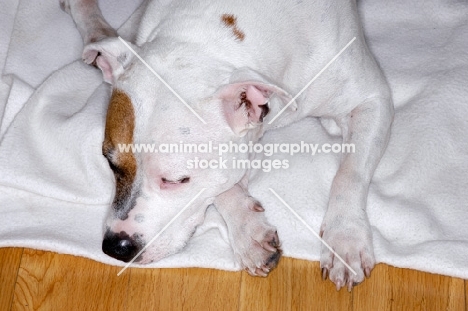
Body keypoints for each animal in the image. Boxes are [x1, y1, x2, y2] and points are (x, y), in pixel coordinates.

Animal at [60, 0, 394, 292]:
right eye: (109, 161)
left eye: (177, 180)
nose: (116, 247)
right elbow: (223, 185)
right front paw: (248, 231)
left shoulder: (373, 100)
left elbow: (350, 173)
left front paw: (344, 239)